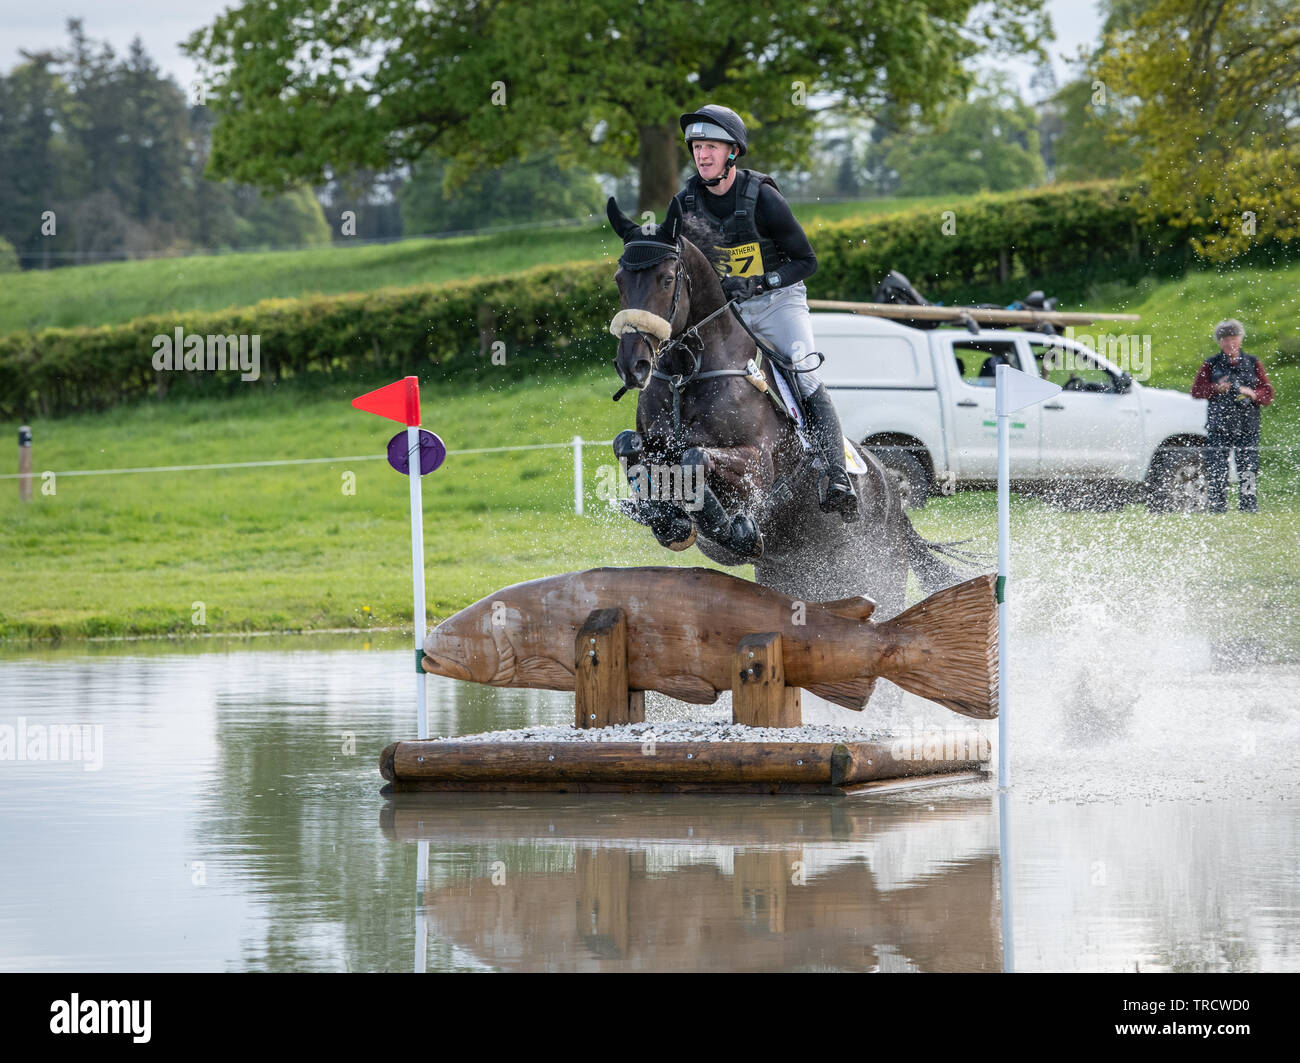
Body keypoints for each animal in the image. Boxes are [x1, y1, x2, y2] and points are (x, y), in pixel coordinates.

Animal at [600, 191, 967, 636]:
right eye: (620, 280)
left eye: (667, 280)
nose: (632, 365)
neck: (685, 378)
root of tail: (895, 502)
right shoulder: (651, 443)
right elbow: (628, 446)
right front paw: (663, 517)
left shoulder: (755, 463)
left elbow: (695, 456)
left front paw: (731, 528)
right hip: (799, 577)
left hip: (881, 572)